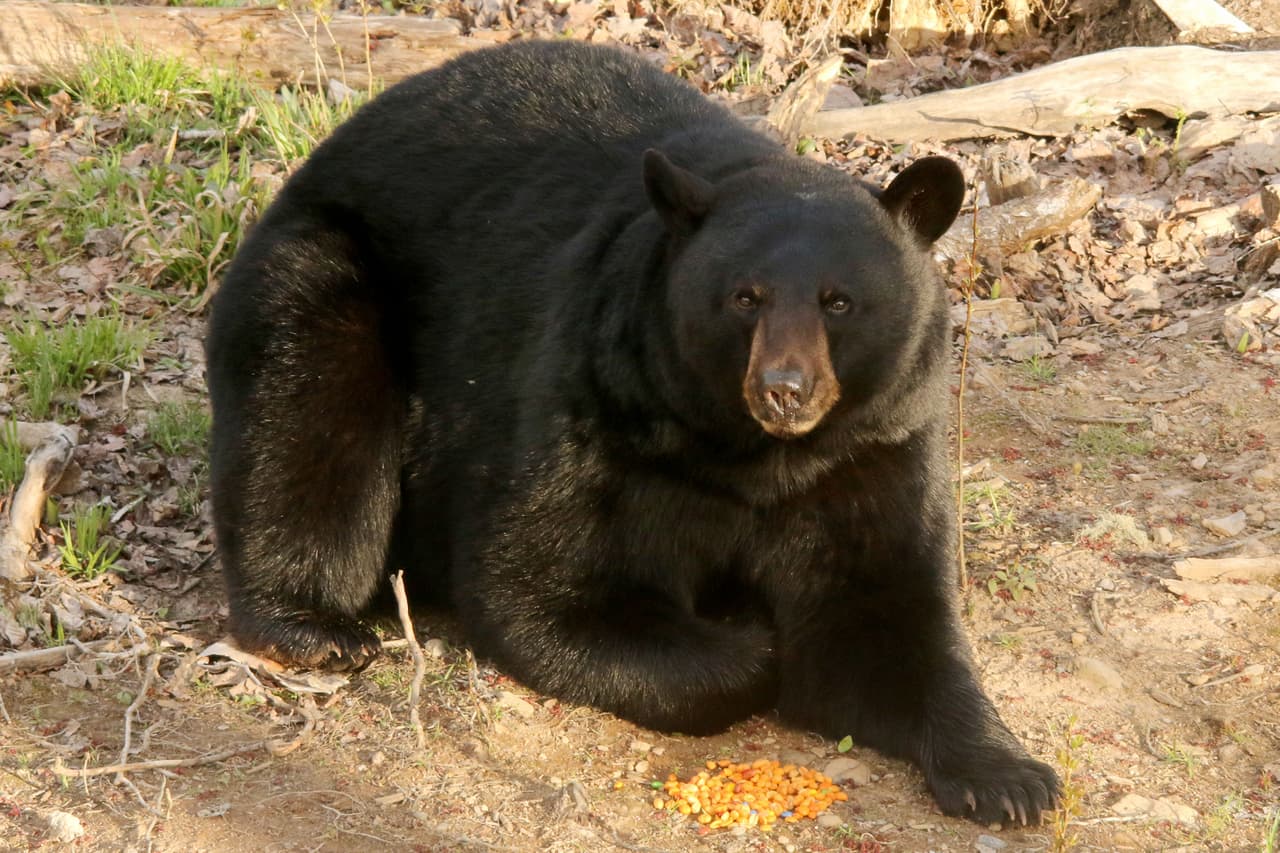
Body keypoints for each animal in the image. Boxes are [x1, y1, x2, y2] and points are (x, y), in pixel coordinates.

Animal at [206, 40, 1060, 825]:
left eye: (838, 300)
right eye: (745, 296)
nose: (785, 390)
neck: (760, 458)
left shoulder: (874, 448)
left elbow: (882, 611)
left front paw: (1011, 776)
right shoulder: (598, 408)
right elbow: (545, 586)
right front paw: (749, 633)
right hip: (325, 272)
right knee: (302, 419)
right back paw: (315, 624)